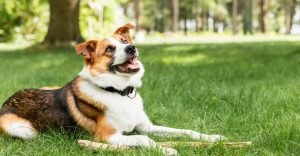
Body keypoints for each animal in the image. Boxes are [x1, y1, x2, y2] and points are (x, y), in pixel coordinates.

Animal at [0, 23, 226, 155]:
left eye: (125, 41)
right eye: (109, 49)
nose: (131, 48)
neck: (120, 92)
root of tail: (6, 101)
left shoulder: (146, 126)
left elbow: (186, 131)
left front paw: (213, 138)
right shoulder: (107, 136)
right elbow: (143, 139)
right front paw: (165, 149)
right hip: (25, 130)